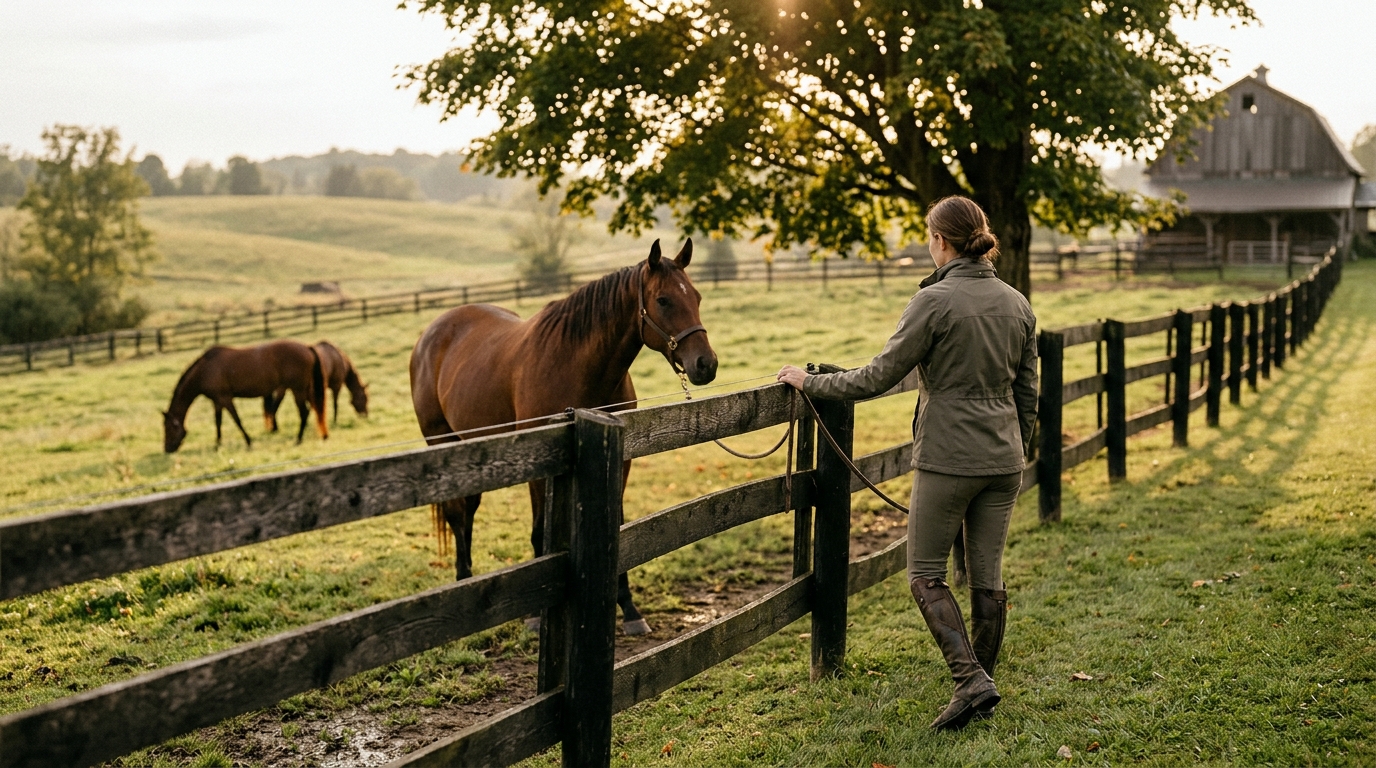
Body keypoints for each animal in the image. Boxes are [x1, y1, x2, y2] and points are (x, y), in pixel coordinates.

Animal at [163, 340, 328, 453]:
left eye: (168, 428)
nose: (167, 449)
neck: (205, 370)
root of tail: (307, 347)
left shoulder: (225, 399)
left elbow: (237, 420)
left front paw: (248, 442)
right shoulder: (217, 401)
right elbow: (218, 422)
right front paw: (218, 444)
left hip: (297, 390)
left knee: (304, 413)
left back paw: (298, 439)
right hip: (305, 389)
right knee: (315, 409)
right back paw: (322, 435)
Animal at [409, 239, 717, 635]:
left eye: (696, 296)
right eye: (663, 300)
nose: (706, 364)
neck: (574, 364)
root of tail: (431, 333)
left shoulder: (621, 460)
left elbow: (618, 527)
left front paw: (629, 610)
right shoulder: (539, 466)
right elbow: (540, 533)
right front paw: (536, 616)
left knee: (468, 507)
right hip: (441, 442)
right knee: (455, 512)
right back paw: (463, 581)